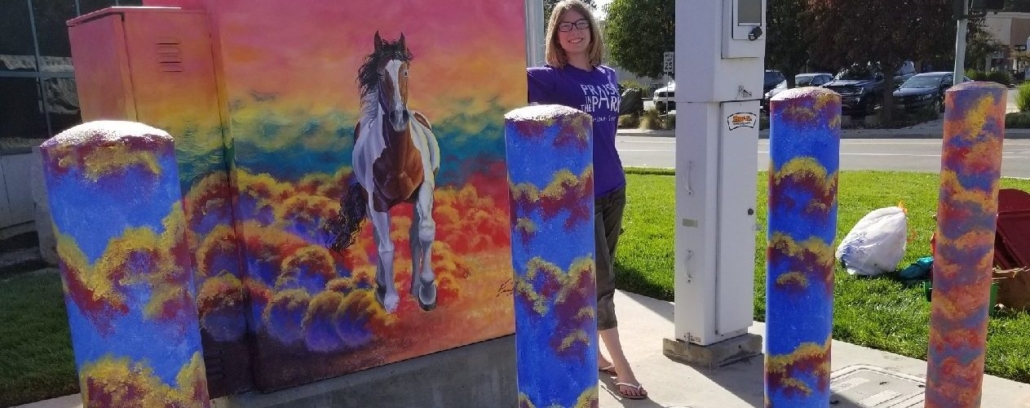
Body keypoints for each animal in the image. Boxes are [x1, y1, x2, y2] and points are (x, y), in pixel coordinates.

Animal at [323, 32, 440, 313]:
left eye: (405, 71)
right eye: (378, 74)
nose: (399, 116)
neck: (398, 157)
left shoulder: (424, 189)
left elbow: (425, 232)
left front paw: (427, 291)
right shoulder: (376, 202)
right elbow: (386, 247)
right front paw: (390, 299)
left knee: (414, 236)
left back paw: (415, 287)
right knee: (379, 238)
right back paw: (382, 286)